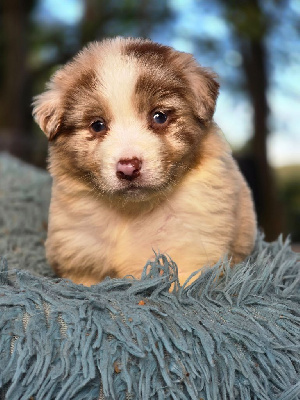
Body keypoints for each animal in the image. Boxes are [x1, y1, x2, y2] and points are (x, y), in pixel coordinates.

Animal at [33, 36, 258, 284]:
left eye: (159, 117)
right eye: (97, 125)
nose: (128, 168)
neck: (133, 211)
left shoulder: (189, 253)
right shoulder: (81, 261)